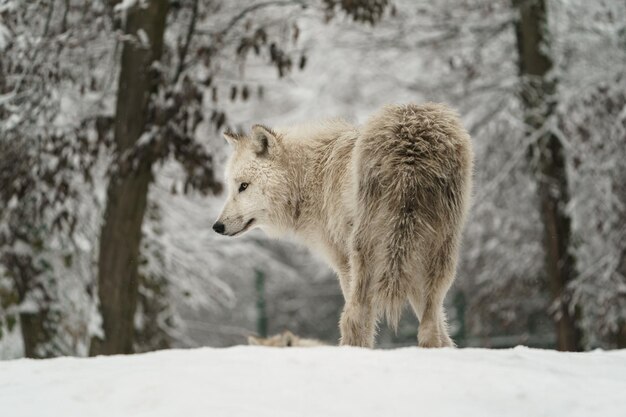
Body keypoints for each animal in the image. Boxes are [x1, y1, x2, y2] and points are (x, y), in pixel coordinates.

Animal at [212, 103, 470, 348]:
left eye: (243, 186)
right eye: (232, 186)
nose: (217, 226)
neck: (308, 177)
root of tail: (411, 141)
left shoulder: (343, 264)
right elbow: (443, 330)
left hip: (366, 255)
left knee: (355, 317)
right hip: (438, 255)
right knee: (430, 324)